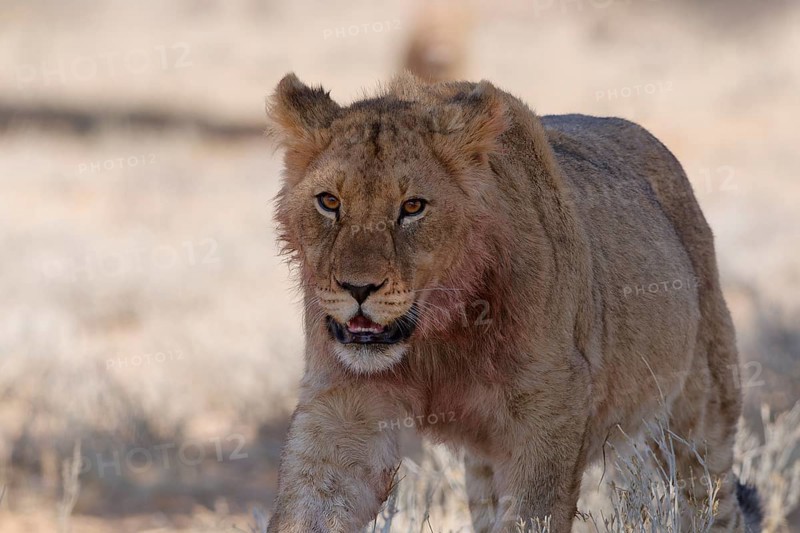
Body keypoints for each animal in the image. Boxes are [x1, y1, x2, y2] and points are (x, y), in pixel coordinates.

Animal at [265, 73, 760, 532]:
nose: (358, 287)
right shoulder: (345, 407)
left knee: (713, 500)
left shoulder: (551, 410)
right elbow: (309, 507)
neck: (436, 336)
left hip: (699, 415)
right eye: (329, 202)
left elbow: (531, 516)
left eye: (413, 207)